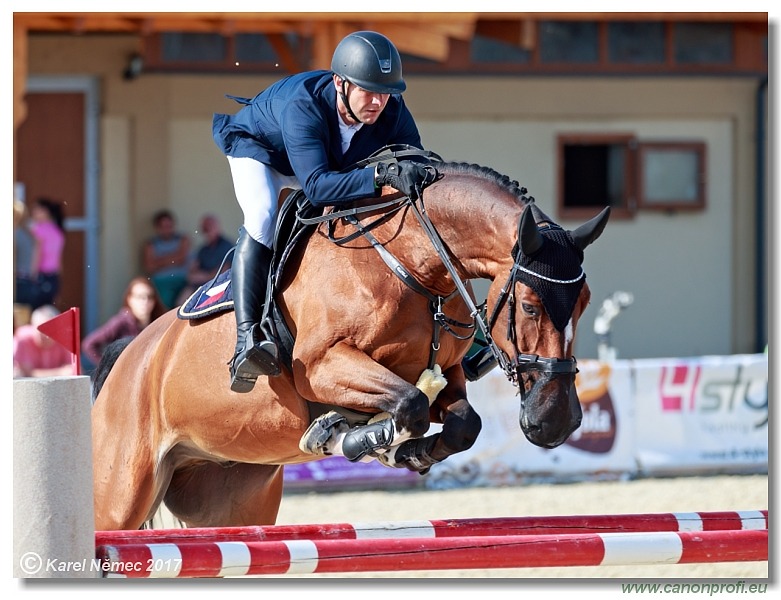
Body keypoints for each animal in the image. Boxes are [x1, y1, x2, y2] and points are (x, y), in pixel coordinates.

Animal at [91, 161, 608, 528]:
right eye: (530, 307)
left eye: (584, 302)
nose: (557, 422)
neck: (409, 261)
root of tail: (129, 354)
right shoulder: (325, 366)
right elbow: (409, 404)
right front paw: (355, 437)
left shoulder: (447, 373)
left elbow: (463, 422)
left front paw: (411, 452)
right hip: (121, 495)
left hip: (229, 500)